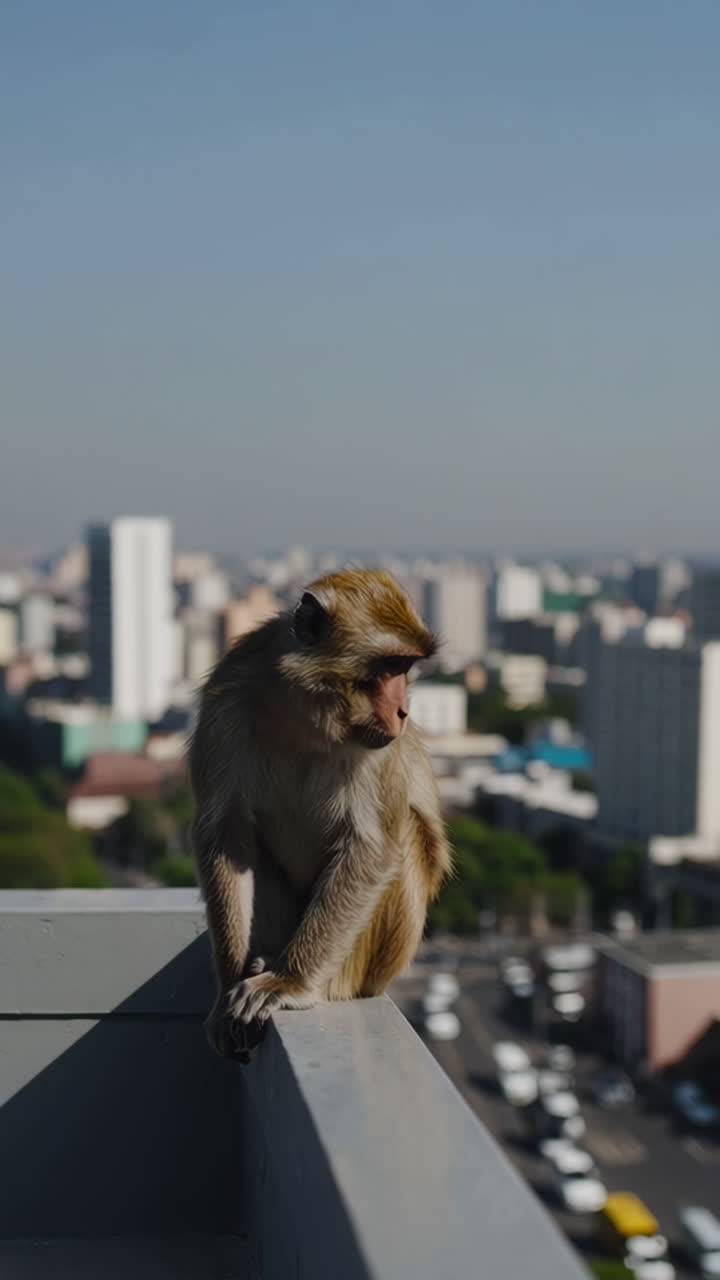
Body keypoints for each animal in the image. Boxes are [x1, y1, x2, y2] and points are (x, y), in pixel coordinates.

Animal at [189, 567, 451, 1060]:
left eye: (406, 669)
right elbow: (226, 835)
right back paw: (261, 959)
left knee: (405, 833)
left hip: (377, 960)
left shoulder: (377, 753)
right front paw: (226, 991)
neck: (305, 718)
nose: (403, 712)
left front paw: (289, 982)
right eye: (391, 667)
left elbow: (371, 850)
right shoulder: (225, 702)